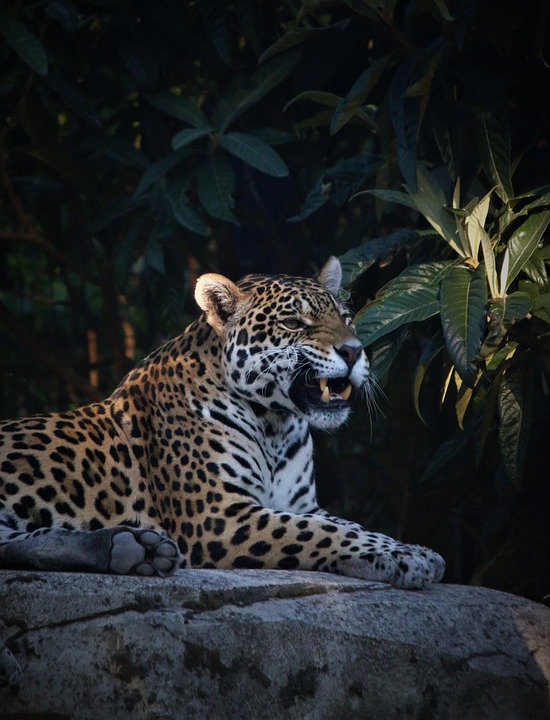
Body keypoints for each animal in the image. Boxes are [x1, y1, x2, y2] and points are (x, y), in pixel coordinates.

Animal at [0, 257, 444, 588]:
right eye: (293, 323)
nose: (354, 351)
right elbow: (322, 534)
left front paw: (412, 551)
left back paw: (133, 548)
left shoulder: (303, 505)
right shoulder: (220, 515)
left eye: (347, 318)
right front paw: (410, 558)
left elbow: (352, 526)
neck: (276, 424)